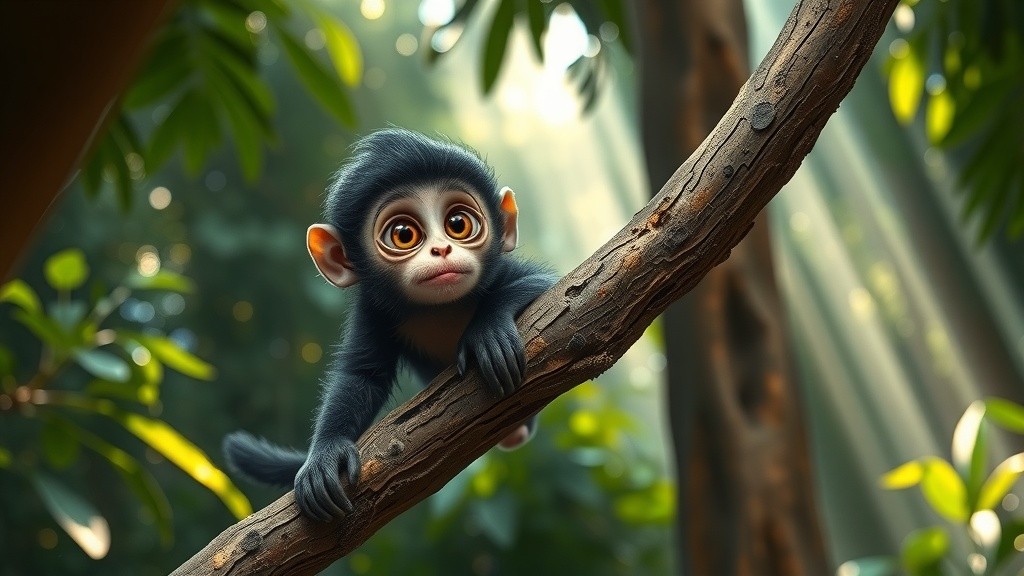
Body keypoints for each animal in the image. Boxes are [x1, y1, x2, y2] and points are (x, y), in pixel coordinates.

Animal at [223, 128, 556, 522]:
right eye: (403, 234)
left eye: (458, 225)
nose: (442, 249)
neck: (441, 308)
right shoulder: (373, 311)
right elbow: (363, 374)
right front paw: (325, 452)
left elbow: (548, 284)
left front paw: (488, 331)